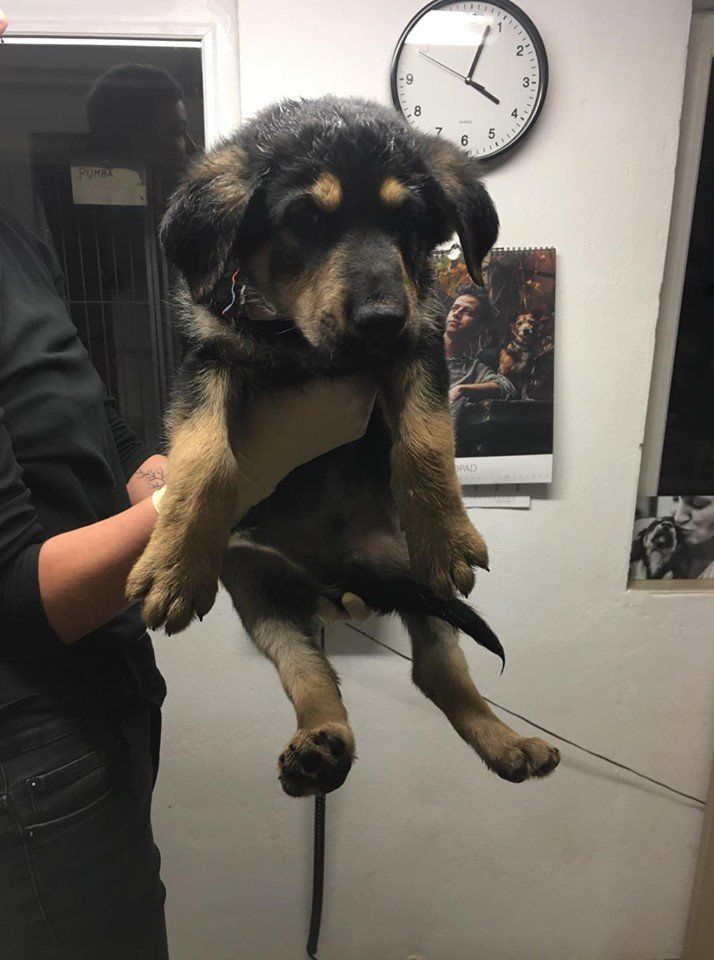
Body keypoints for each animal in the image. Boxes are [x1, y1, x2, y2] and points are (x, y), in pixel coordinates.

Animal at [127, 97, 559, 797]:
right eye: (305, 218)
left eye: (408, 221)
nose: (381, 319)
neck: (299, 344)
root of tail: (334, 578)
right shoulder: (209, 359)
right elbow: (205, 455)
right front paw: (175, 562)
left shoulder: (418, 345)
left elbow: (425, 438)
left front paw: (446, 531)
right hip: (257, 584)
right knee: (309, 672)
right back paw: (320, 746)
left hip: (415, 582)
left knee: (436, 670)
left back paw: (505, 742)